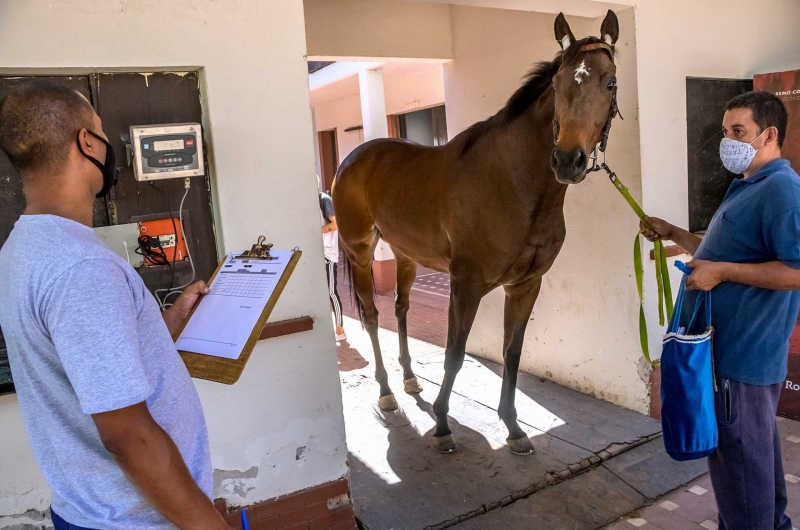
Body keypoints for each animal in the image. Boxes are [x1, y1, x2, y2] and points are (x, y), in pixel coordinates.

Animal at [332, 10, 624, 452]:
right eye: (557, 83)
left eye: (609, 83)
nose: (567, 160)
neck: (514, 184)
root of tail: (354, 156)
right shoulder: (465, 283)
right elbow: (454, 352)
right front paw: (442, 425)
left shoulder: (526, 285)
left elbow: (512, 352)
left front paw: (514, 427)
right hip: (360, 251)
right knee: (370, 316)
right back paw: (386, 392)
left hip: (406, 255)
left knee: (400, 309)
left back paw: (409, 379)